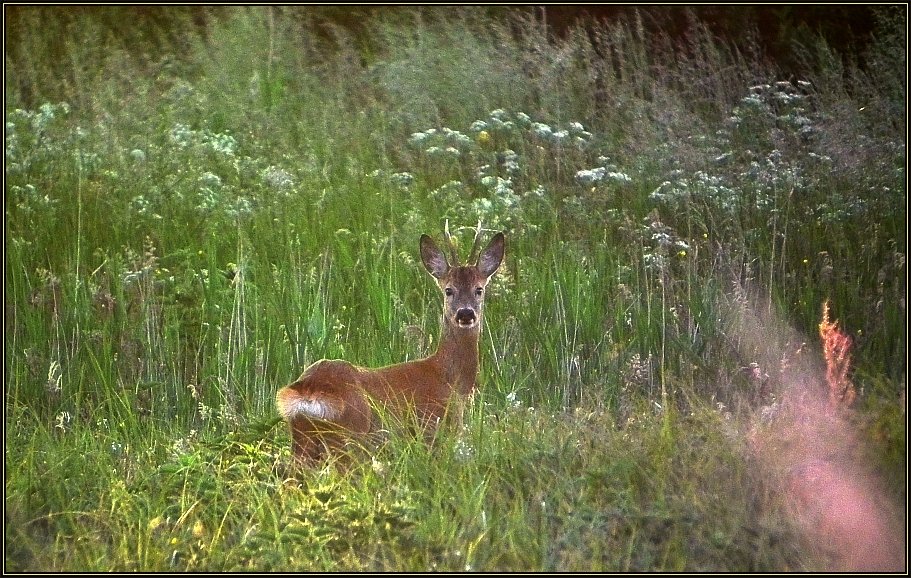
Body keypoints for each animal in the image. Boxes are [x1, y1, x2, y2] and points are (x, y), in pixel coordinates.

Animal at [278, 223, 506, 462]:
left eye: (478, 289)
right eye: (449, 290)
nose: (465, 313)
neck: (450, 379)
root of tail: (308, 389)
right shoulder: (434, 431)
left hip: (304, 442)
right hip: (350, 436)